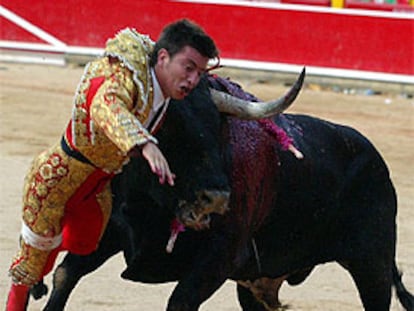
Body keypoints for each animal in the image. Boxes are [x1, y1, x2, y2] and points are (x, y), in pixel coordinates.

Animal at [30, 70, 412, 311]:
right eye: (169, 129)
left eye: (219, 128)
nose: (216, 197)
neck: (152, 204)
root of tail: (376, 159)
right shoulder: (109, 233)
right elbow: (65, 274)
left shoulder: (219, 257)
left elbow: (180, 301)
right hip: (259, 284)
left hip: (372, 264)